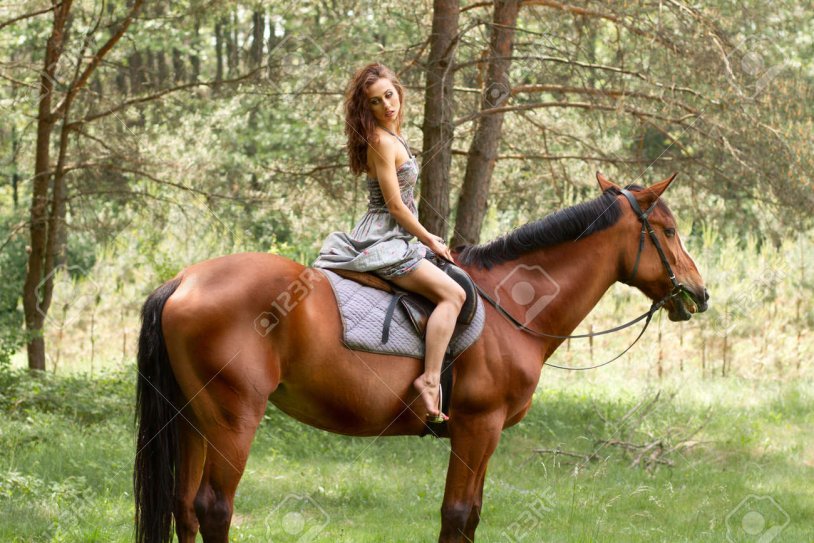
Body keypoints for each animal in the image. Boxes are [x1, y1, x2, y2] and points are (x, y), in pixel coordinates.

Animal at [134, 172, 709, 543]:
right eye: (669, 231)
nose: (699, 294)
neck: (510, 307)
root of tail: (184, 281)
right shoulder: (479, 427)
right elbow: (456, 516)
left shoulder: (483, 435)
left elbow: (471, 517)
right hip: (233, 420)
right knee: (213, 509)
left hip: (193, 420)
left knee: (184, 508)